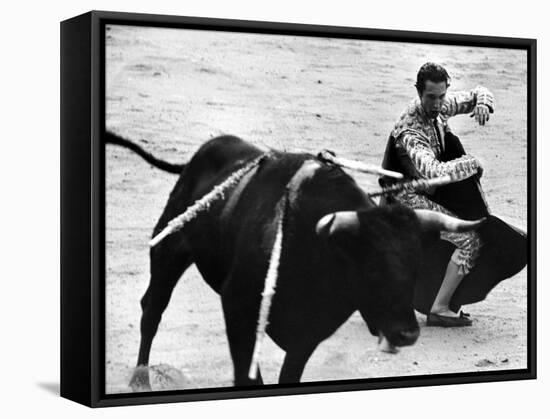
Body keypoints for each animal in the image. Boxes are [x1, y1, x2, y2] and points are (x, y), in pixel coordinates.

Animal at [105, 132, 524, 390]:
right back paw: (140, 378)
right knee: (152, 309)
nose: (407, 334)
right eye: (371, 267)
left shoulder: (310, 333)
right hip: (168, 249)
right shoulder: (238, 310)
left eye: (416, 267)